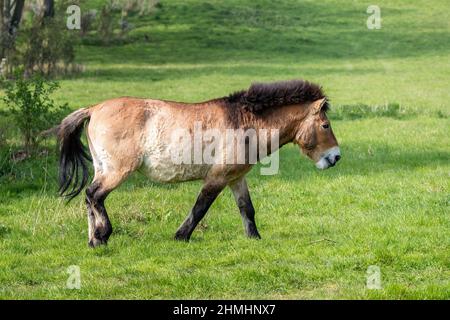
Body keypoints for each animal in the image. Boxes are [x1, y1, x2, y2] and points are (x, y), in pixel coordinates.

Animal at [59, 80, 342, 248]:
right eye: (325, 125)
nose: (336, 157)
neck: (244, 122)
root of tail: (94, 109)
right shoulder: (217, 178)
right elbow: (200, 208)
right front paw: (181, 236)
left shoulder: (236, 178)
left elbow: (246, 209)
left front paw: (254, 237)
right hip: (117, 171)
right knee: (94, 195)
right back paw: (103, 234)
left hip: (103, 169)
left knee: (89, 198)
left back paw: (93, 241)